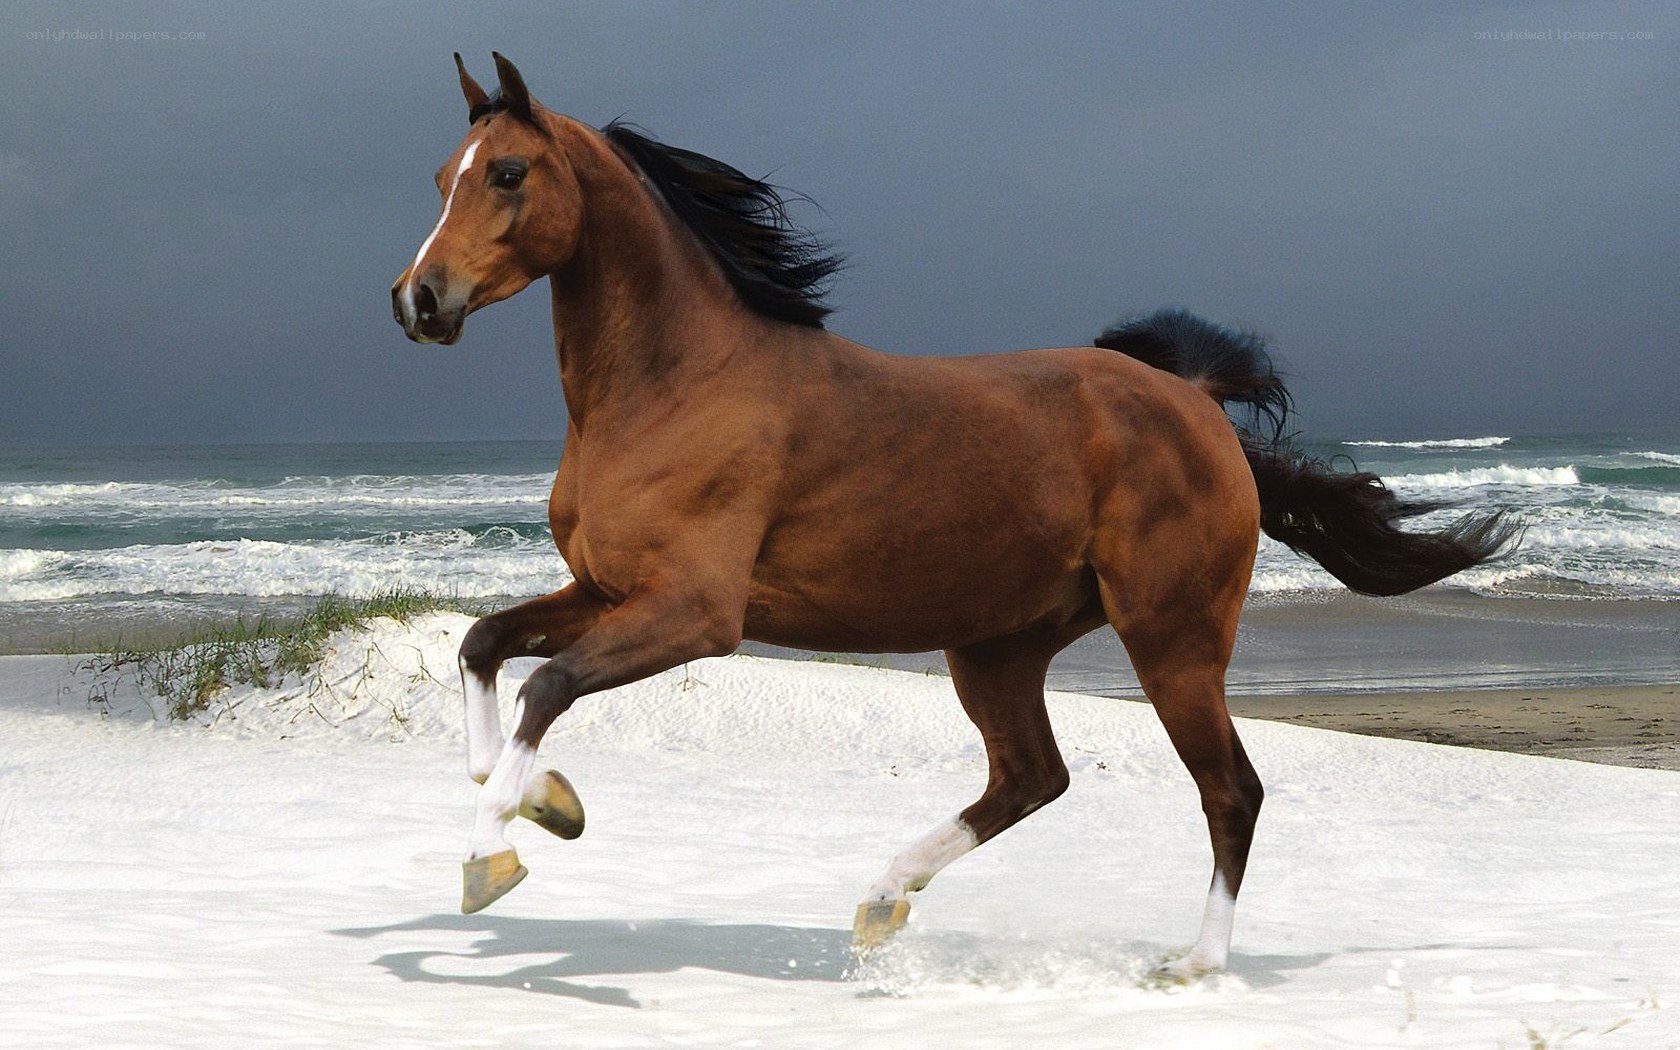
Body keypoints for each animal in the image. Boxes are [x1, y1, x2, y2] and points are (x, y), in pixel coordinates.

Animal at [391, 53, 1515, 979]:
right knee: (1032, 777)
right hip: (1000, 646)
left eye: (508, 174)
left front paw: (494, 852)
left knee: (1230, 790)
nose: (418, 300)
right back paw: (882, 900)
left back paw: (1193, 965)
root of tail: (1193, 401)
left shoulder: (695, 615)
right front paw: (544, 800)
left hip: (1172, 637)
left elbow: (547, 686)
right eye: (442, 178)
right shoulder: (607, 589)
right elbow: (485, 647)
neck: (673, 383)